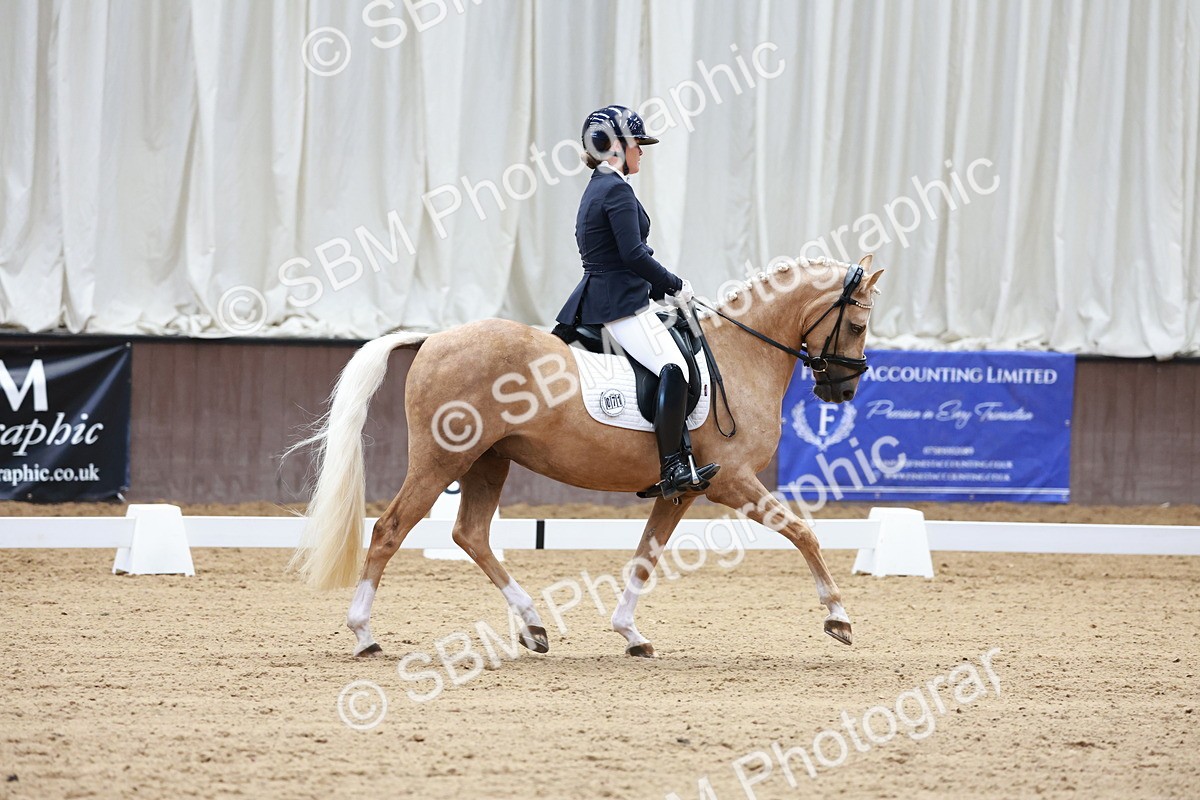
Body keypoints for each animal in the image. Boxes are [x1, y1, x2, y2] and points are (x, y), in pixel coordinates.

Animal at [290, 254, 883, 658]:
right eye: (857, 325)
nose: (843, 391)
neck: (739, 355)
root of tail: (434, 339)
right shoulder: (731, 481)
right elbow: (802, 530)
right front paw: (839, 618)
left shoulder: (683, 488)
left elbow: (646, 554)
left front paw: (631, 634)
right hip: (441, 462)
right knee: (391, 529)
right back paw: (364, 634)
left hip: (489, 460)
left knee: (470, 534)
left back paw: (533, 626)